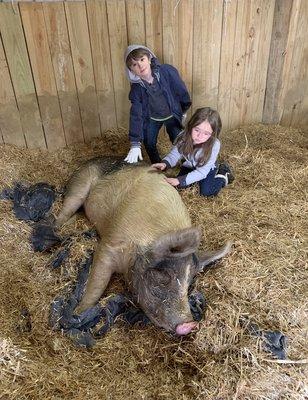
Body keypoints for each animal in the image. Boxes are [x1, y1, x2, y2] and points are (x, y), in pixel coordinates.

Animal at [54, 156, 231, 334]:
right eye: (163, 274)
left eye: (189, 284)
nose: (189, 324)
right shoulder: (108, 246)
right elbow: (97, 284)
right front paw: (78, 314)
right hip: (80, 185)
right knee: (65, 211)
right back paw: (57, 229)